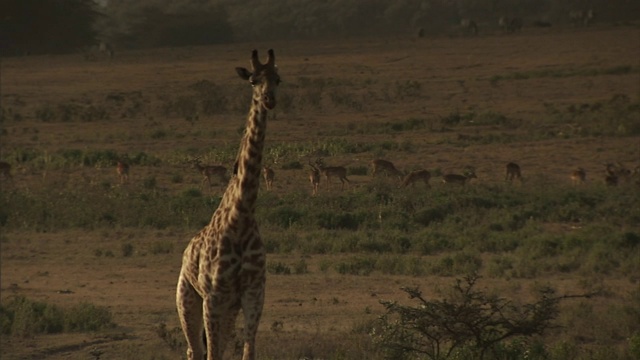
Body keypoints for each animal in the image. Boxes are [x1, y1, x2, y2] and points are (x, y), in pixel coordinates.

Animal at [179, 48, 282, 360]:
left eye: (278, 79)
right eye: (252, 80)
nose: (269, 99)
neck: (241, 216)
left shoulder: (253, 294)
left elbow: (248, 352)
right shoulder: (214, 296)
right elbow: (212, 354)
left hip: (228, 309)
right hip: (187, 298)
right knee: (194, 350)